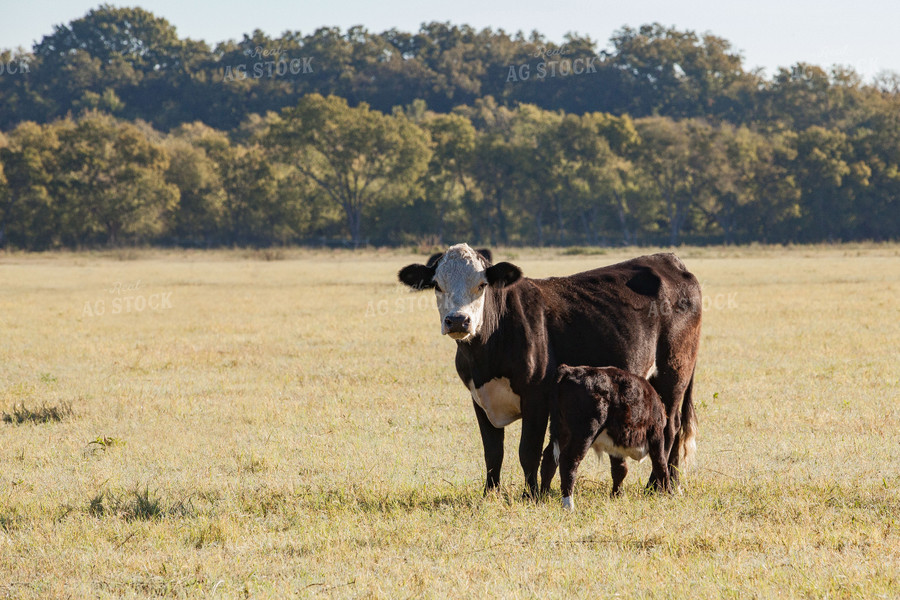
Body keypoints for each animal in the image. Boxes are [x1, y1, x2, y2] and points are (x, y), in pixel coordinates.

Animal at [552, 360, 672, 510]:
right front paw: (670, 495)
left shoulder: (615, 446)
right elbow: (661, 465)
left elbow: (620, 469)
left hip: (563, 432)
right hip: (585, 432)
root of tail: (569, 370)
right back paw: (569, 505)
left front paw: (617, 496)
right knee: (569, 461)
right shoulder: (656, 434)